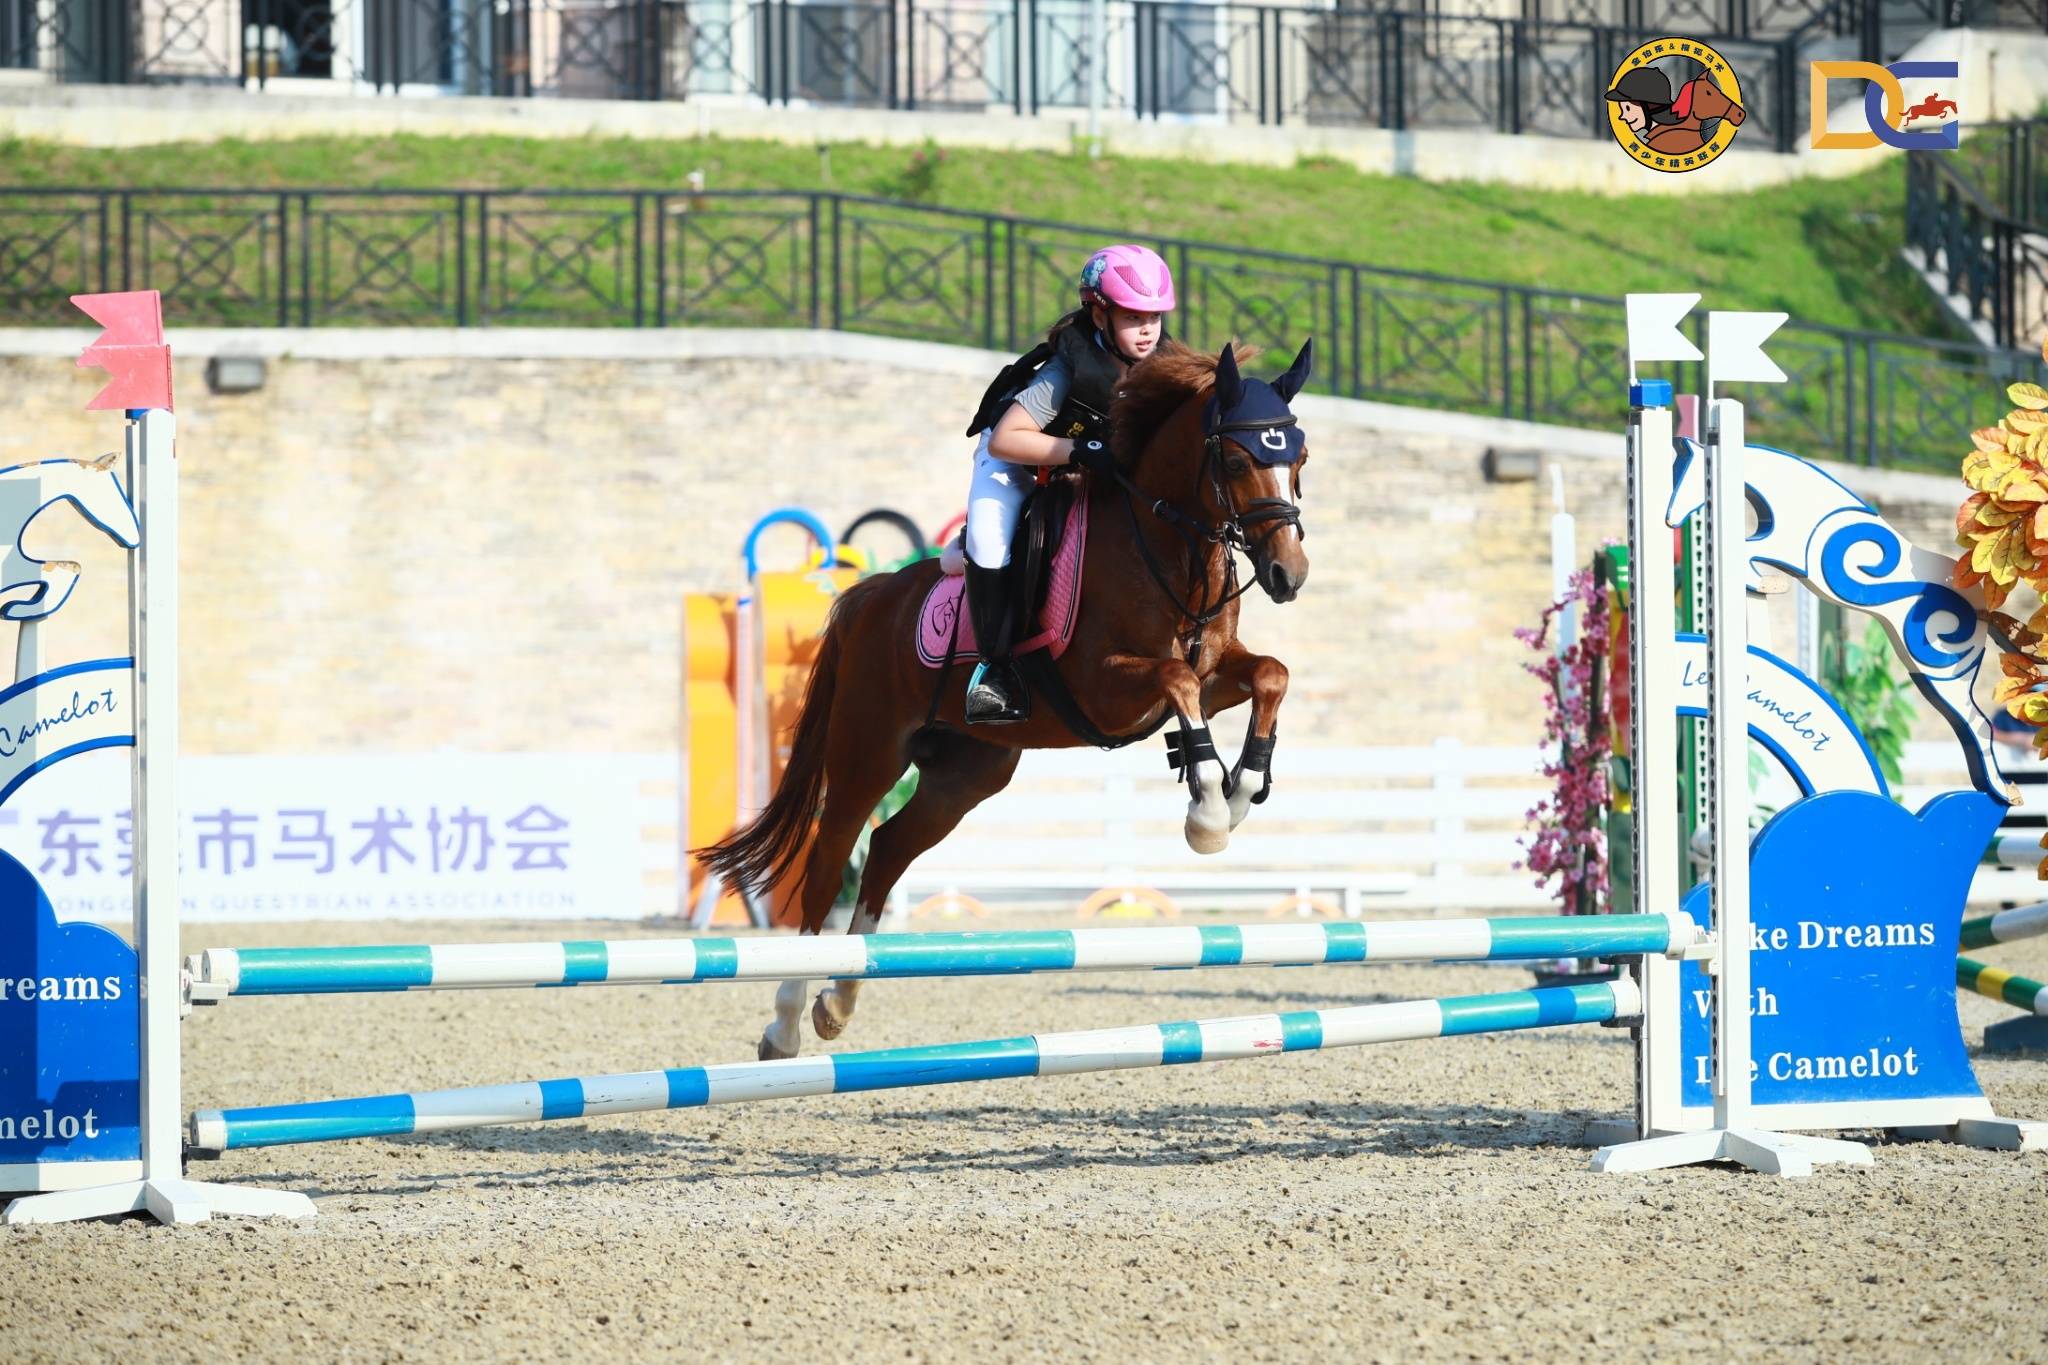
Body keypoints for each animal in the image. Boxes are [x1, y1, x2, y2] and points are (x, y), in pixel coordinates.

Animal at [699, 339, 1315, 1060]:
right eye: (1240, 459)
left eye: (1300, 458)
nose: (1289, 574)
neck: (1167, 545)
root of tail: (868, 598)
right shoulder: (1107, 689)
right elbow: (1177, 681)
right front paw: (1209, 813)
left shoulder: (1217, 673)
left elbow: (1271, 673)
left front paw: (1242, 788)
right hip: (867, 753)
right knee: (831, 856)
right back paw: (787, 1022)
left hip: (966, 773)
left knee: (888, 848)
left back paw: (838, 1002)